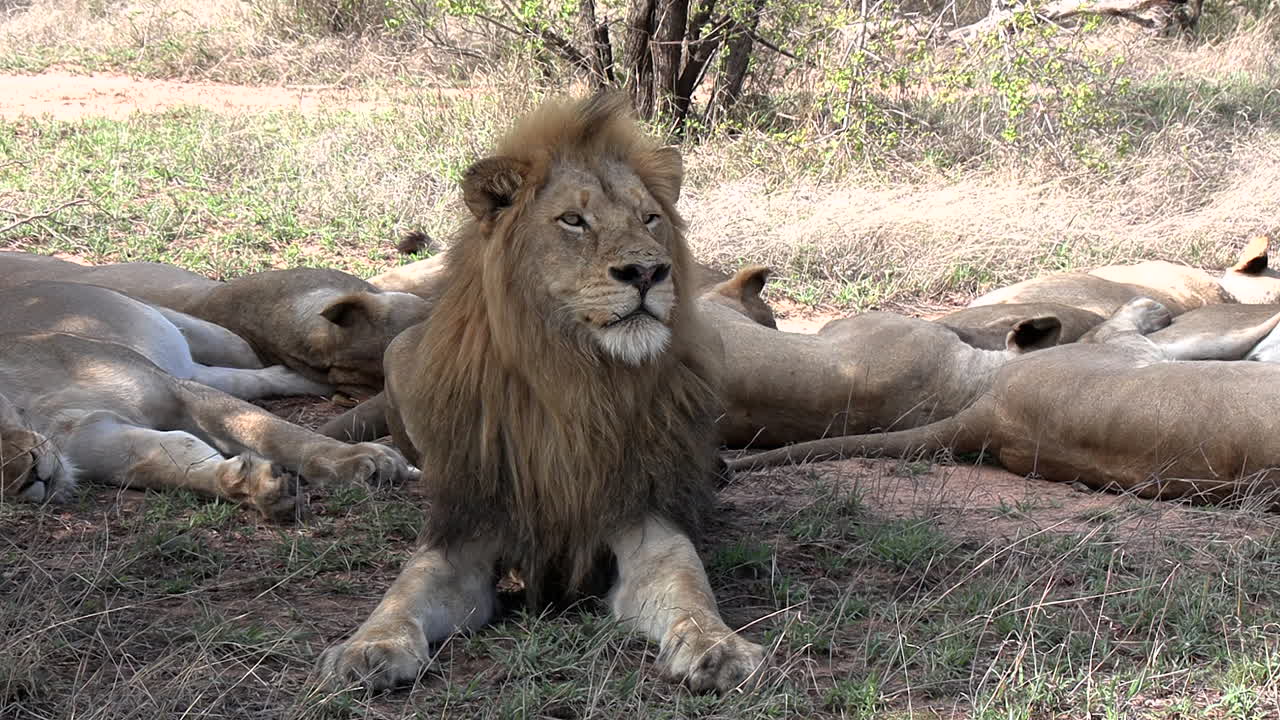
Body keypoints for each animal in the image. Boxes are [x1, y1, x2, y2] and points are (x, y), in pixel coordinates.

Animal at [0, 282, 417, 517]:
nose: (27, 479)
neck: (29, 410)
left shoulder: (173, 392)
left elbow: (275, 432)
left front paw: (360, 461)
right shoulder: (101, 439)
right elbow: (176, 459)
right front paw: (249, 485)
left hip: (210, 339)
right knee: (236, 380)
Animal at [316, 93, 765, 694]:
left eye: (649, 218)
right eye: (573, 220)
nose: (648, 272)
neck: (575, 380)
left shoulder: (644, 517)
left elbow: (688, 584)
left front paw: (719, 647)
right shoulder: (465, 530)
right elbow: (402, 592)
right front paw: (366, 648)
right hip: (402, 350)